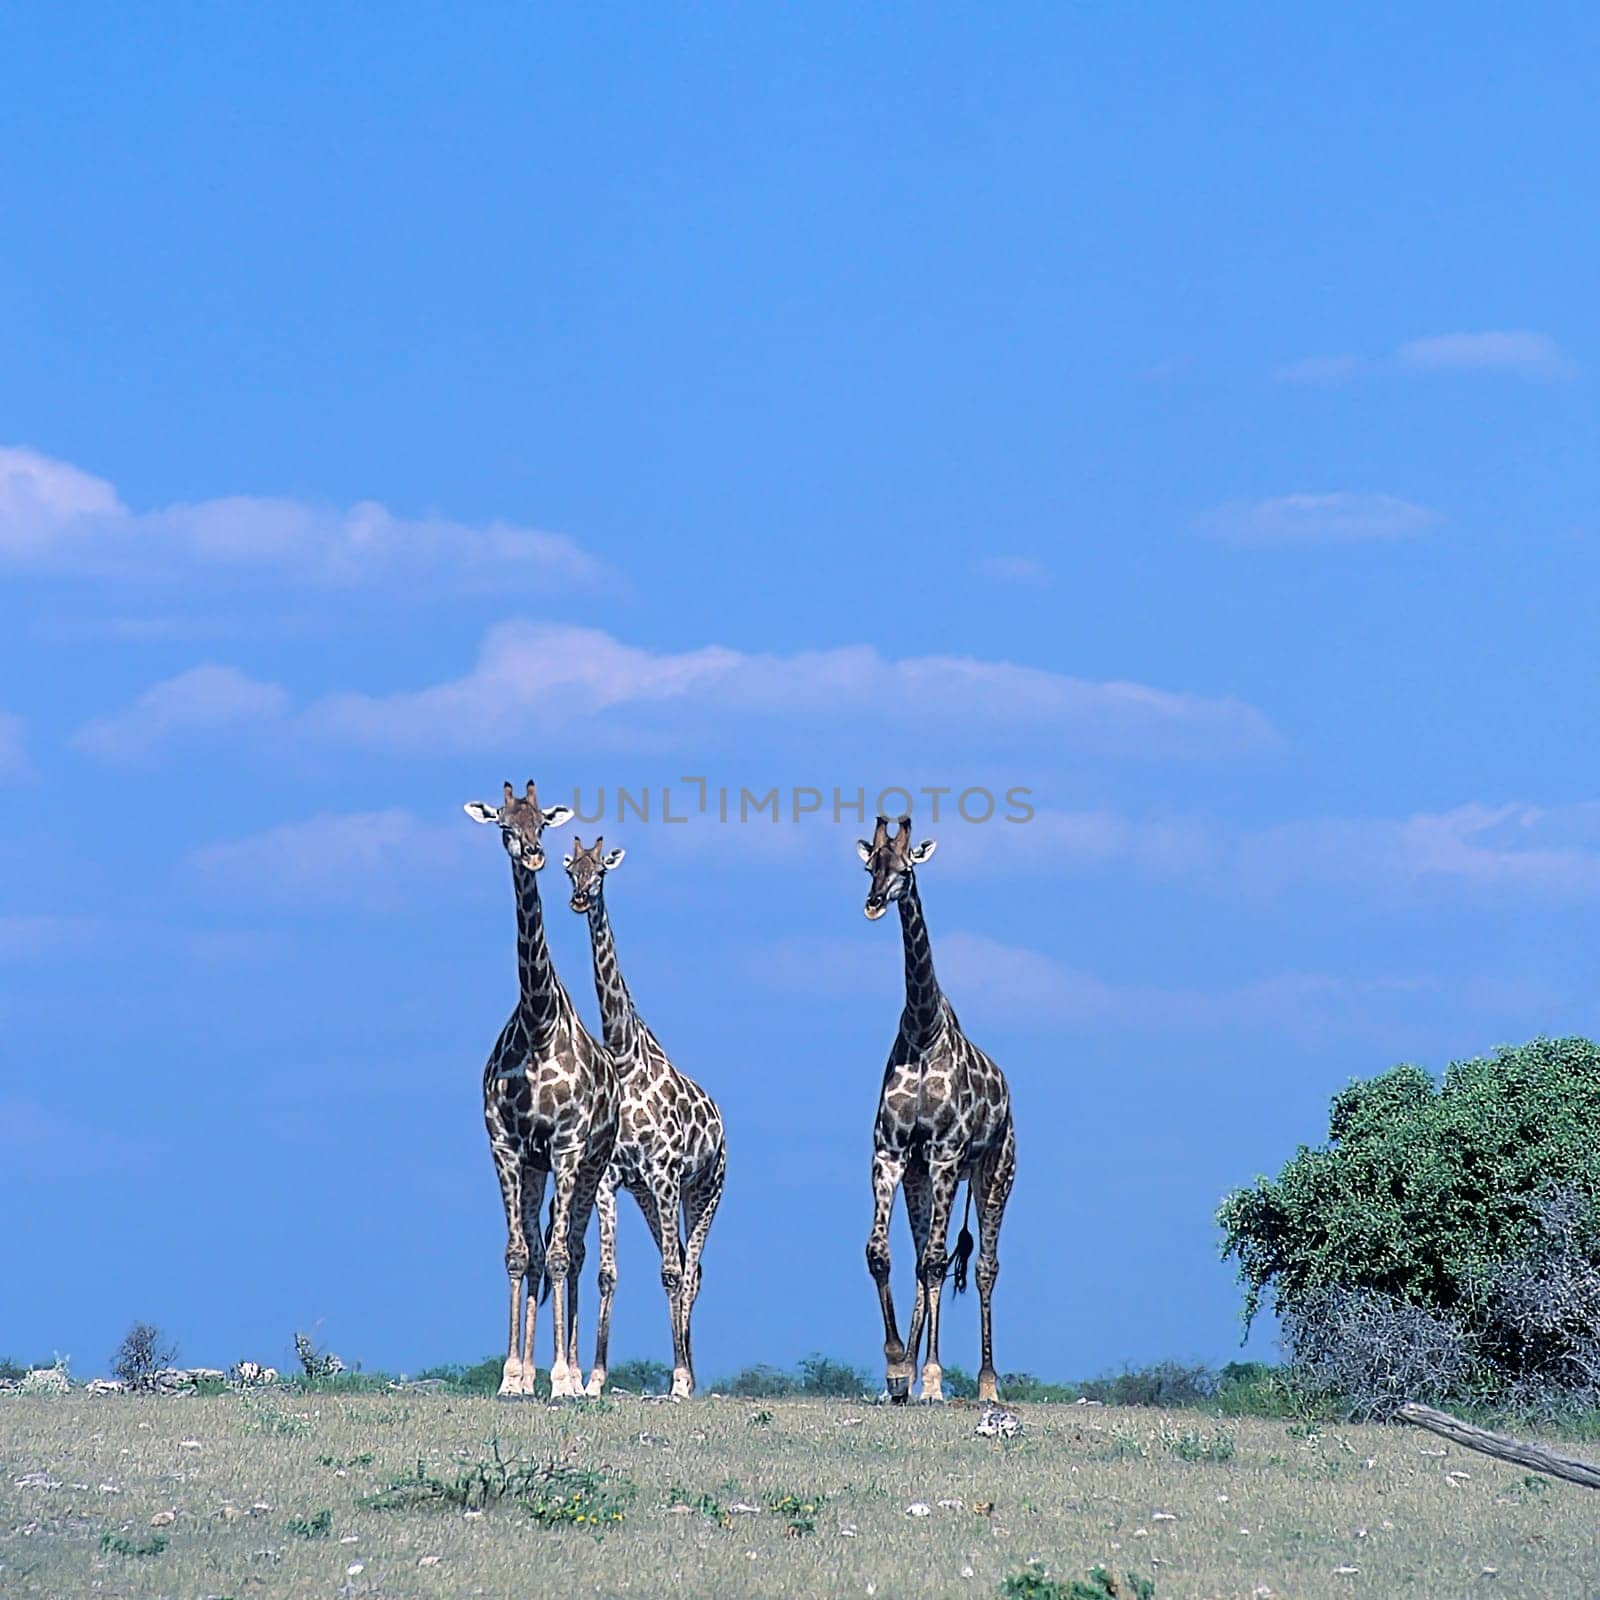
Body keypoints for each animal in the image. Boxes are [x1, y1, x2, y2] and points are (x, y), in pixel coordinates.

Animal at [563, 838, 726, 1401]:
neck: (624, 1052)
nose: (579, 898)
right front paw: (594, 1378)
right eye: (570, 869)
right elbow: (608, 1274)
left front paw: (677, 1379)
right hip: (653, 1199)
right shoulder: (613, 1180)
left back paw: (687, 1376)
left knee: (691, 1269)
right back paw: (690, 1370)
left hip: (704, 1190)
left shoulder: (664, 1175)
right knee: (681, 1262)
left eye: (600, 871)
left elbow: (673, 1274)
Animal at [857, 812, 1017, 1401]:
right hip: (922, 1177)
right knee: (932, 1256)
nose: (874, 902)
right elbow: (882, 1254)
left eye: (905, 868)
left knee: (983, 1265)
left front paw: (929, 1378)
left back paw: (986, 1382)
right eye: (870, 865)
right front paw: (897, 1368)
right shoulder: (892, 1153)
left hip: (994, 1173)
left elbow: (934, 1261)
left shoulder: (947, 1153)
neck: (923, 1029)